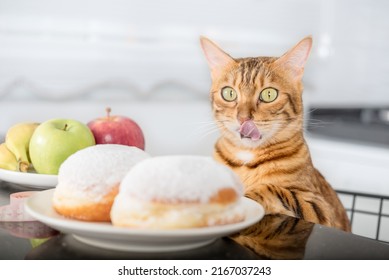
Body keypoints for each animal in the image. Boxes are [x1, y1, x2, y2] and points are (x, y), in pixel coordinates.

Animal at [202, 36, 350, 231]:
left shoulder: (321, 208)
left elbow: (274, 190)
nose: (243, 118)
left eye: (269, 94)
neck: (246, 158)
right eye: (229, 93)